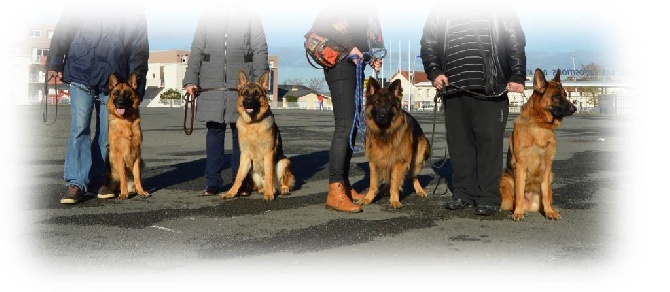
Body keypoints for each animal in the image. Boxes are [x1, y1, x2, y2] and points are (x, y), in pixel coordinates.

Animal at [106, 73, 150, 201]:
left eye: (126, 93)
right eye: (116, 93)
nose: (120, 102)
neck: (125, 122)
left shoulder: (137, 155)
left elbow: (137, 177)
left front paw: (141, 191)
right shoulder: (119, 155)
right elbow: (123, 177)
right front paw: (123, 193)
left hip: (142, 162)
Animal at [222, 70, 296, 201]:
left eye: (257, 94)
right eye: (245, 94)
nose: (249, 103)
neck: (253, 124)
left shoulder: (268, 153)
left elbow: (268, 176)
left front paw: (269, 195)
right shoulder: (245, 155)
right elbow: (238, 176)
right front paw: (231, 192)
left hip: (283, 162)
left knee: (283, 181)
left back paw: (281, 189)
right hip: (252, 172)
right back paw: (264, 190)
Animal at [360, 76, 434, 209]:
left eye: (389, 103)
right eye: (376, 102)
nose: (382, 116)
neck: (385, 133)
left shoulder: (399, 161)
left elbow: (395, 182)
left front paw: (394, 200)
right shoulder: (375, 161)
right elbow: (373, 183)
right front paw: (368, 198)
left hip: (416, 160)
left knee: (413, 176)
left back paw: (419, 190)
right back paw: (385, 190)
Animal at [502, 68, 580, 221]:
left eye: (565, 95)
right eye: (556, 96)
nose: (574, 108)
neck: (540, 125)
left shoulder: (547, 166)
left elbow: (545, 195)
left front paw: (549, 212)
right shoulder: (520, 165)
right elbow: (519, 193)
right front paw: (518, 213)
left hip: (550, 177)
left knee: (547, 196)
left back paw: (550, 209)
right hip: (505, 180)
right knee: (514, 198)